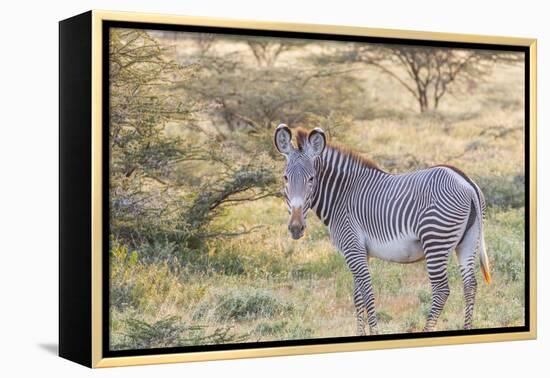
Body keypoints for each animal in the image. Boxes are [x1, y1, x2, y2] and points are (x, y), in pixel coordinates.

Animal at [274, 123, 494, 334]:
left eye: (311, 179)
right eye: (285, 178)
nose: (296, 228)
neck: (341, 195)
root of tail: (466, 182)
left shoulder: (352, 248)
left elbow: (368, 294)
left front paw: (374, 332)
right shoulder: (361, 252)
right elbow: (358, 297)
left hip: (435, 240)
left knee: (441, 290)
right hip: (467, 242)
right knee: (470, 285)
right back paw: (467, 328)